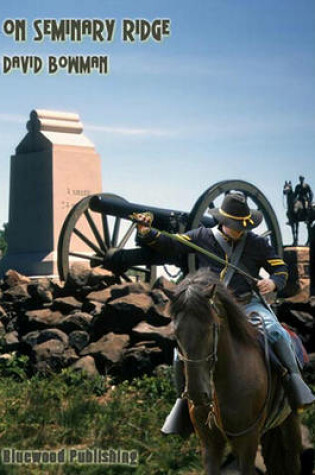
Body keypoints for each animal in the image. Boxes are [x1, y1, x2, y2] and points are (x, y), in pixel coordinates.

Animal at [172, 270, 302, 474]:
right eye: (176, 333)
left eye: (210, 327)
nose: (197, 394)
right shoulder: (210, 444)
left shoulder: (247, 441)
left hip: (290, 420)